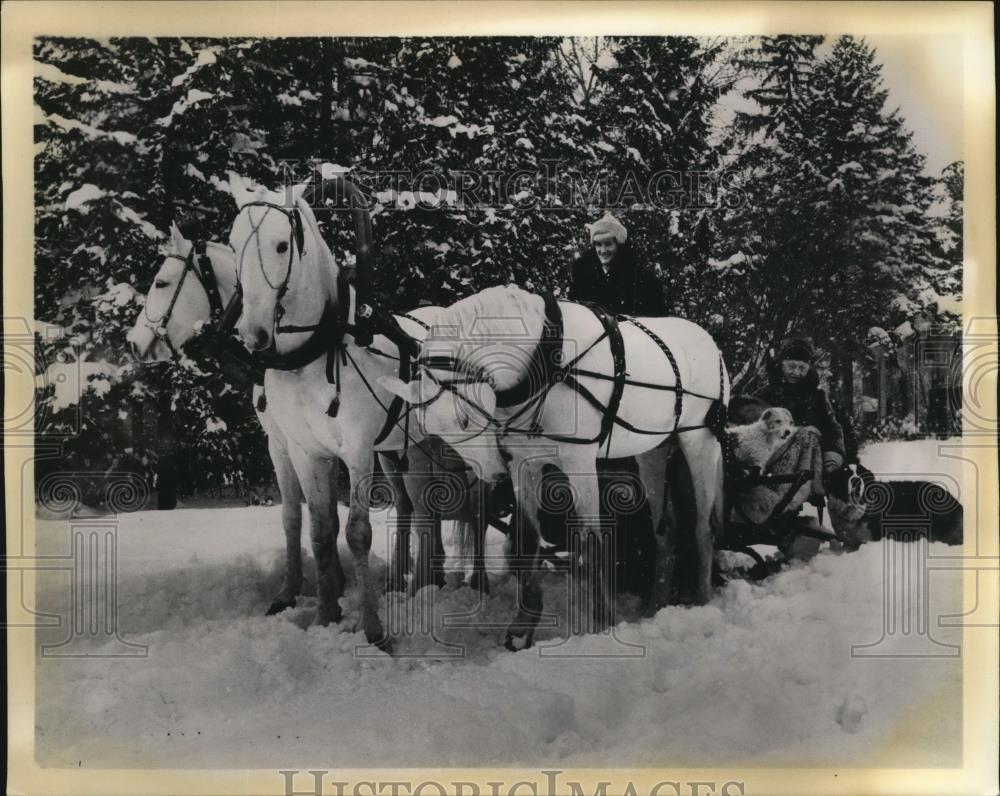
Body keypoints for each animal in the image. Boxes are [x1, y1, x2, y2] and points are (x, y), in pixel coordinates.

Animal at [128, 221, 492, 648]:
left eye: (161, 282)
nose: (134, 344)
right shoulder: (288, 444)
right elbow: (304, 518)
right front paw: (307, 590)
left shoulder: (326, 446)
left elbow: (336, 523)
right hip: (402, 447)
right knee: (415, 509)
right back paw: (411, 581)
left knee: (460, 509)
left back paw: (462, 584)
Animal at [380, 284, 728, 648]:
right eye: (433, 430)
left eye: (464, 419)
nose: (492, 472)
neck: (545, 357)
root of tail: (710, 341)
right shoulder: (524, 463)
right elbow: (528, 539)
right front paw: (523, 626)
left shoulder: (580, 461)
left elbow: (591, 543)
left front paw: (602, 626)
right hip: (654, 450)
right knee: (667, 527)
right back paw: (656, 605)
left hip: (699, 440)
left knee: (702, 526)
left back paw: (703, 602)